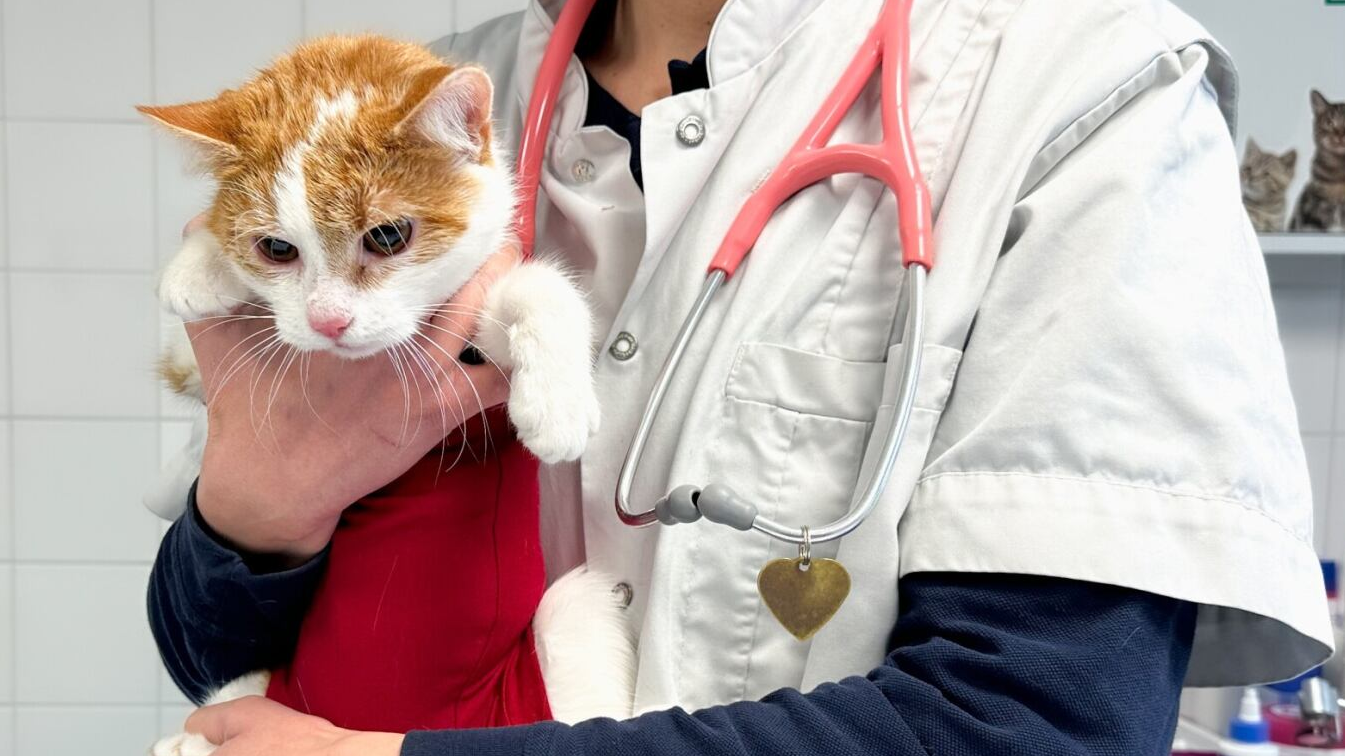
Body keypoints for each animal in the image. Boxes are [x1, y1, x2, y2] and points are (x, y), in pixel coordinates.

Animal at [141, 36, 634, 755]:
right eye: (276, 247)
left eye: (387, 236)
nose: (327, 321)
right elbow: (191, 362)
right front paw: (199, 265)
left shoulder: (472, 341)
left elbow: (537, 287)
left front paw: (557, 403)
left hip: (568, 631)